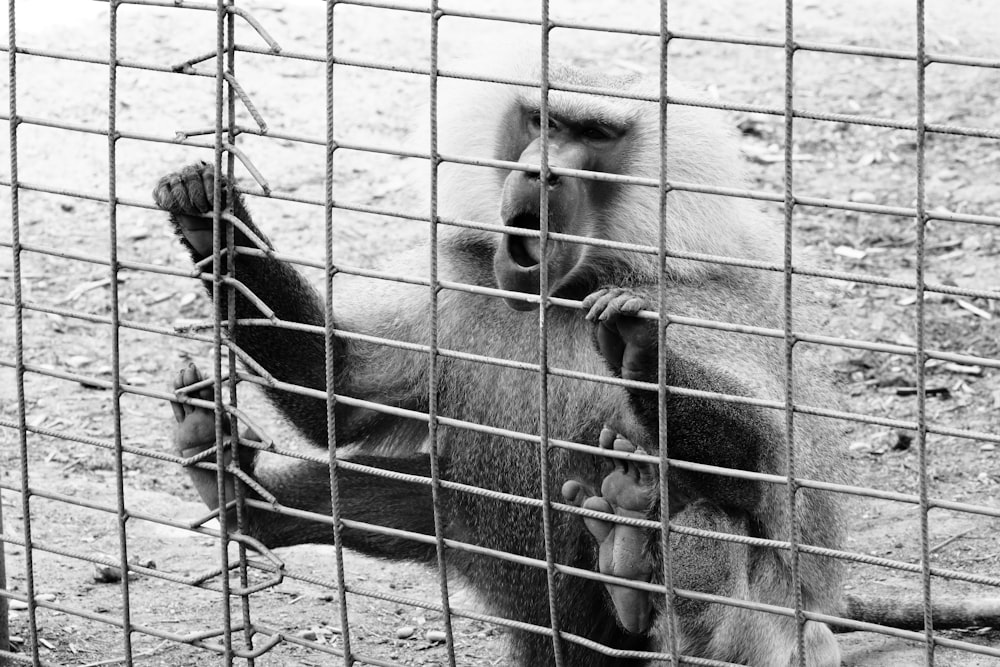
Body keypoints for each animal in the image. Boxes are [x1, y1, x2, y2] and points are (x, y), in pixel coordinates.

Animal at [152, 64, 848, 667]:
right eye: (544, 121)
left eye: (596, 137)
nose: (539, 174)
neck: (561, 297)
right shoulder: (458, 288)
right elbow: (340, 395)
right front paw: (207, 215)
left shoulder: (705, 305)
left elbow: (760, 471)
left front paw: (638, 349)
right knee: (436, 487)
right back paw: (233, 490)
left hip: (771, 636)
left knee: (706, 525)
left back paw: (628, 571)